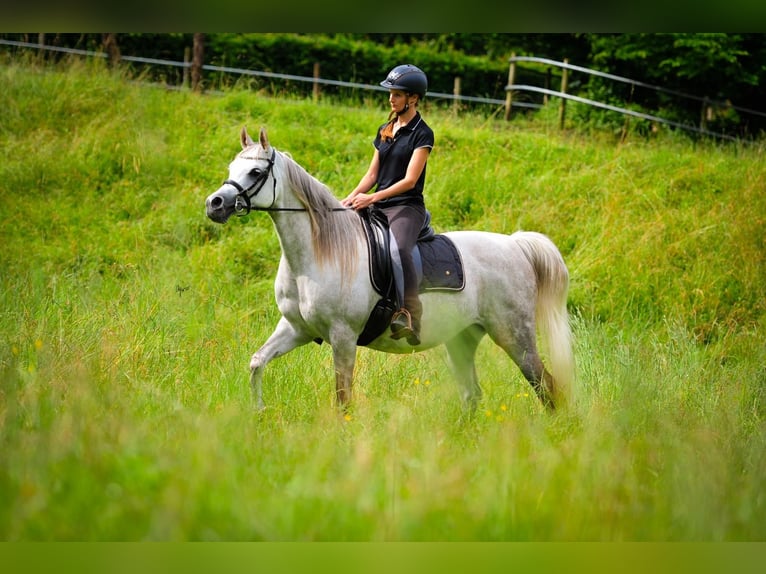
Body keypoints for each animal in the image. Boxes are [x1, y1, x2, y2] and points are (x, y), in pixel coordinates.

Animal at [205, 126, 574, 412]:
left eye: (255, 173)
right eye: (231, 166)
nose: (215, 204)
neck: (317, 254)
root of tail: (515, 245)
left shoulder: (343, 337)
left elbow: (343, 399)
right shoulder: (296, 328)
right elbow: (257, 362)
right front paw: (259, 411)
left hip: (514, 335)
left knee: (546, 387)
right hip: (462, 338)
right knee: (473, 394)